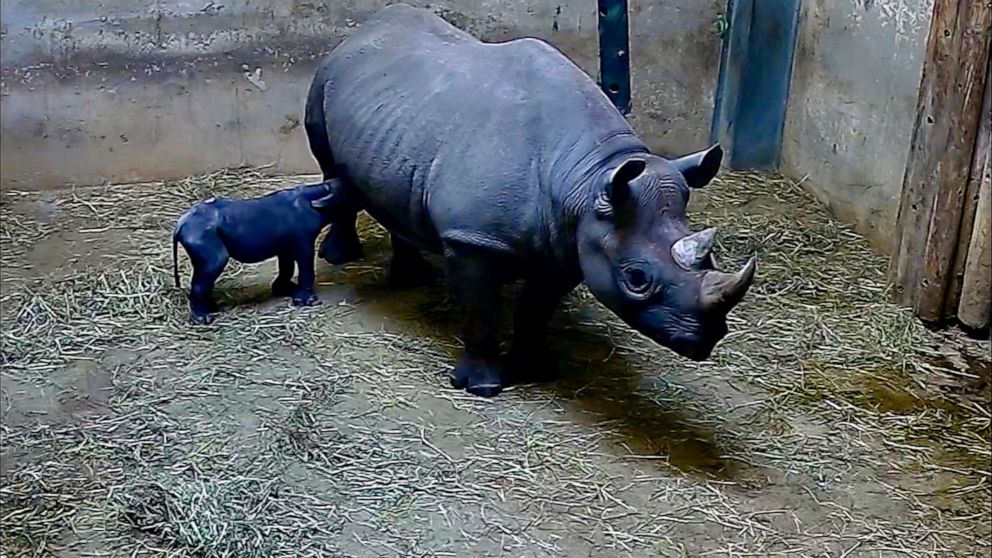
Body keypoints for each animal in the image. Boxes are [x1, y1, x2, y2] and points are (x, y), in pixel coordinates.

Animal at [169, 182, 342, 326]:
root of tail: (180, 224)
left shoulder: (286, 246)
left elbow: (286, 266)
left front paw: (285, 289)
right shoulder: (303, 241)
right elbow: (306, 265)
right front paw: (308, 300)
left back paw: (211, 308)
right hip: (200, 235)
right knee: (213, 264)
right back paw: (202, 319)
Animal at [306, 4, 756, 398]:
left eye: (712, 258)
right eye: (636, 279)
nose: (705, 341)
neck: (588, 178)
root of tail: (365, 26)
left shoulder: (570, 241)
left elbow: (537, 310)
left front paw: (536, 369)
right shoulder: (472, 240)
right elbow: (482, 312)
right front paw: (484, 387)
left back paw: (412, 278)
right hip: (326, 78)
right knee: (330, 165)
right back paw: (343, 257)